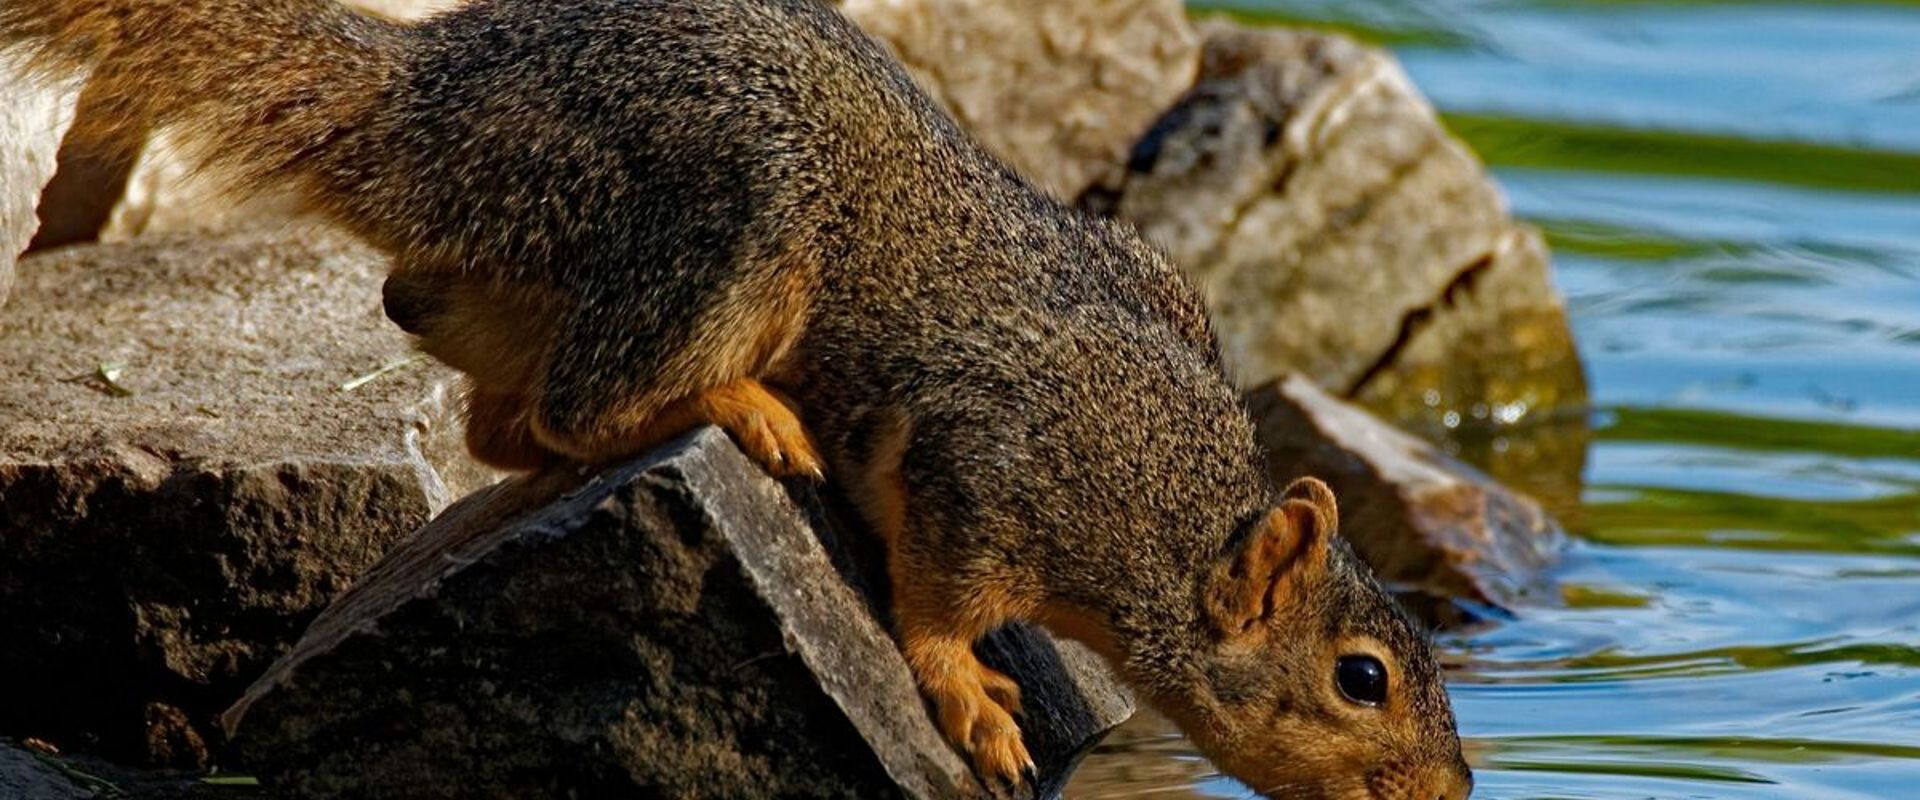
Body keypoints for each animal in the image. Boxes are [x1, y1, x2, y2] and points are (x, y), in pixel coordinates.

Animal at [3, 0, 1471, 796]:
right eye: (1361, 678)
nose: (1456, 785)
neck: (1164, 504)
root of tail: (428, 111)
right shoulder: (988, 458)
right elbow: (939, 596)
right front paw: (972, 697)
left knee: (495, 420)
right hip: (741, 214)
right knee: (577, 409)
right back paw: (746, 412)